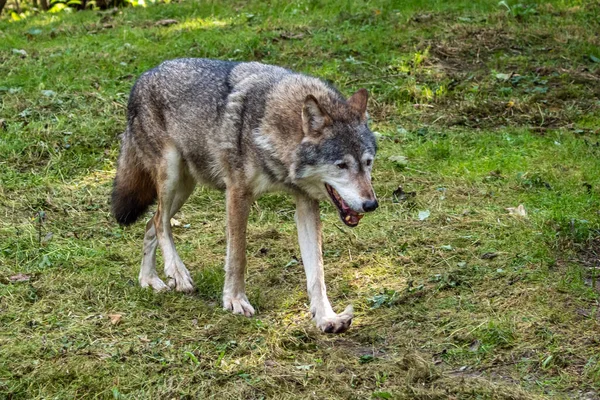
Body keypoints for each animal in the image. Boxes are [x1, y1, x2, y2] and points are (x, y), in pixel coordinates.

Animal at [110, 58, 378, 334]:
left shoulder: (306, 203)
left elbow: (317, 271)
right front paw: (235, 300)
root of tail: (144, 76)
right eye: (341, 165)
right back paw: (177, 272)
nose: (371, 204)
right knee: (160, 222)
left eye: (368, 163)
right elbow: (238, 256)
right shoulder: (238, 193)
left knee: (150, 224)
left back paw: (149, 279)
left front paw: (327, 318)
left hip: (184, 188)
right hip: (171, 175)